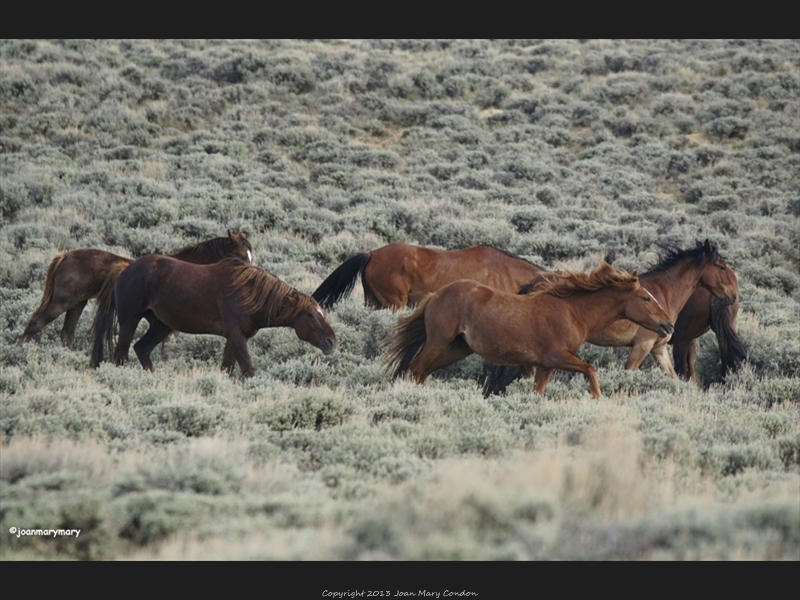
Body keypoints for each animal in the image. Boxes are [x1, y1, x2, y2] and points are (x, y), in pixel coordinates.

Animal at [18, 231, 252, 352]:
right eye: (240, 257)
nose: (250, 277)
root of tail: (65, 256)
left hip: (77, 304)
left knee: (67, 333)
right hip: (62, 302)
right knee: (36, 323)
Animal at [97, 256, 338, 378]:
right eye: (309, 314)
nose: (332, 342)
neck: (248, 293)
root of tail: (125, 268)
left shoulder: (234, 338)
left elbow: (227, 368)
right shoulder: (236, 336)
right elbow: (248, 370)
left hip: (160, 326)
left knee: (142, 349)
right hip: (130, 321)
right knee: (121, 354)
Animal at [384, 262, 672, 398]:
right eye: (646, 299)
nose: (668, 325)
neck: (573, 312)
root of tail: (436, 295)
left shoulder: (546, 366)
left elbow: (539, 391)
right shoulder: (557, 357)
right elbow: (591, 370)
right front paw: (597, 398)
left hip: (457, 348)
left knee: (422, 372)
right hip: (438, 341)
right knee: (416, 369)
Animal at [478, 241, 740, 396]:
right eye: (722, 266)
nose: (733, 295)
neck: (664, 292)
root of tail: (532, 285)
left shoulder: (659, 349)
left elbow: (673, 377)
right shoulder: (642, 346)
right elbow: (629, 375)